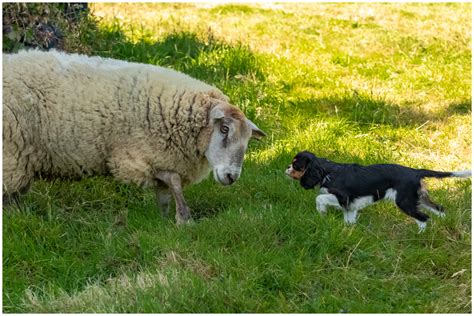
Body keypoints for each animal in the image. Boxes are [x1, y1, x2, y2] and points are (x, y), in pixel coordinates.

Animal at [1, 50, 264, 225]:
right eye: (224, 129)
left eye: (247, 141)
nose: (231, 177)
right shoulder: (130, 158)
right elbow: (172, 180)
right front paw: (184, 218)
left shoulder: (161, 156)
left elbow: (166, 189)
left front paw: (166, 218)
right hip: (11, 154)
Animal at [286, 151, 470, 232]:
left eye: (296, 165)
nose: (286, 168)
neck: (327, 172)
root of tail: (415, 171)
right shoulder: (351, 206)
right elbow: (349, 219)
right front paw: (348, 230)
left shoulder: (343, 198)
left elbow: (320, 198)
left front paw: (321, 213)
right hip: (418, 198)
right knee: (440, 210)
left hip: (405, 202)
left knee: (424, 218)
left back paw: (420, 234)